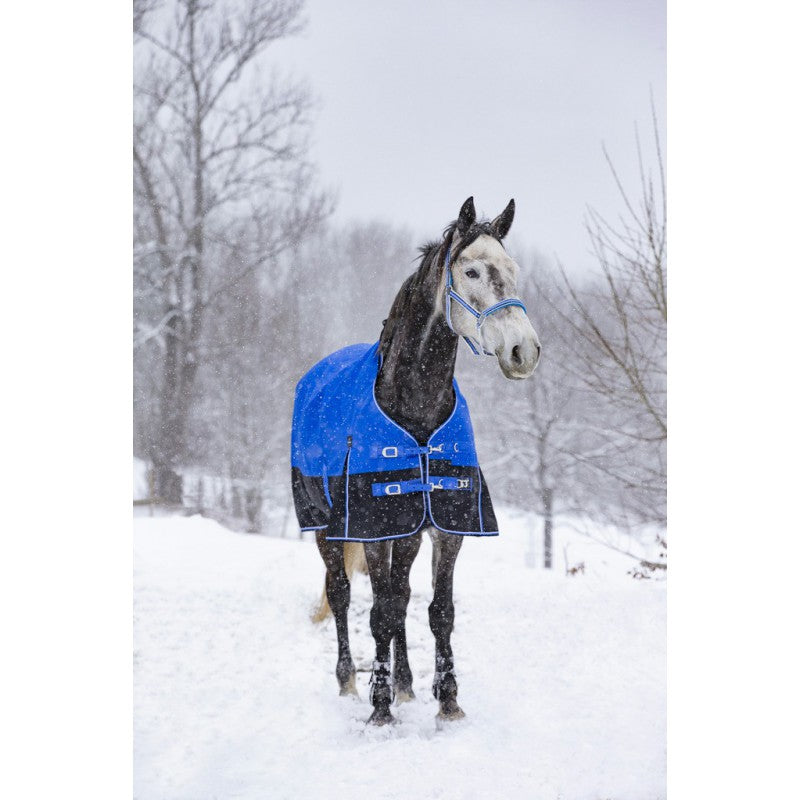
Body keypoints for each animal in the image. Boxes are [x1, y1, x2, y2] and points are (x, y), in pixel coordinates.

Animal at [291, 196, 540, 725]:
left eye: (513, 270)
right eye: (471, 271)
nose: (523, 351)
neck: (416, 406)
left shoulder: (445, 524)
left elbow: (436, 611)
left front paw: (447, 701)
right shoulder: (373, 526)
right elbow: (378, 612)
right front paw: (379, 708)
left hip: (408, 530)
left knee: (401, 597)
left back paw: (405, 684)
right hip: (326, 525)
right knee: (342, 593)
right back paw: (349, 683)